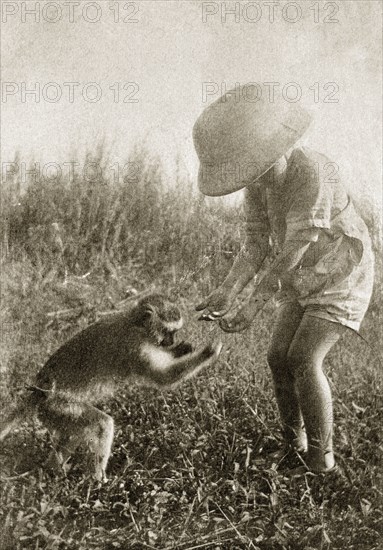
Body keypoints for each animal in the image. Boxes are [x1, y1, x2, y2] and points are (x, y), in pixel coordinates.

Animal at [0, 294, 222, 484]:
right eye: (169, 332)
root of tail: (39, 390)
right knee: (100, 424)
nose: (172, 341)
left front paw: (182, 348)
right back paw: (98, 482)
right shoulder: (134, 345)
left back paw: (53, 471)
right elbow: (162, 378)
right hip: (57, 406)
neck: (134, 323)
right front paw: (209, 352)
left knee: (73, 433)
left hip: (53, 412)